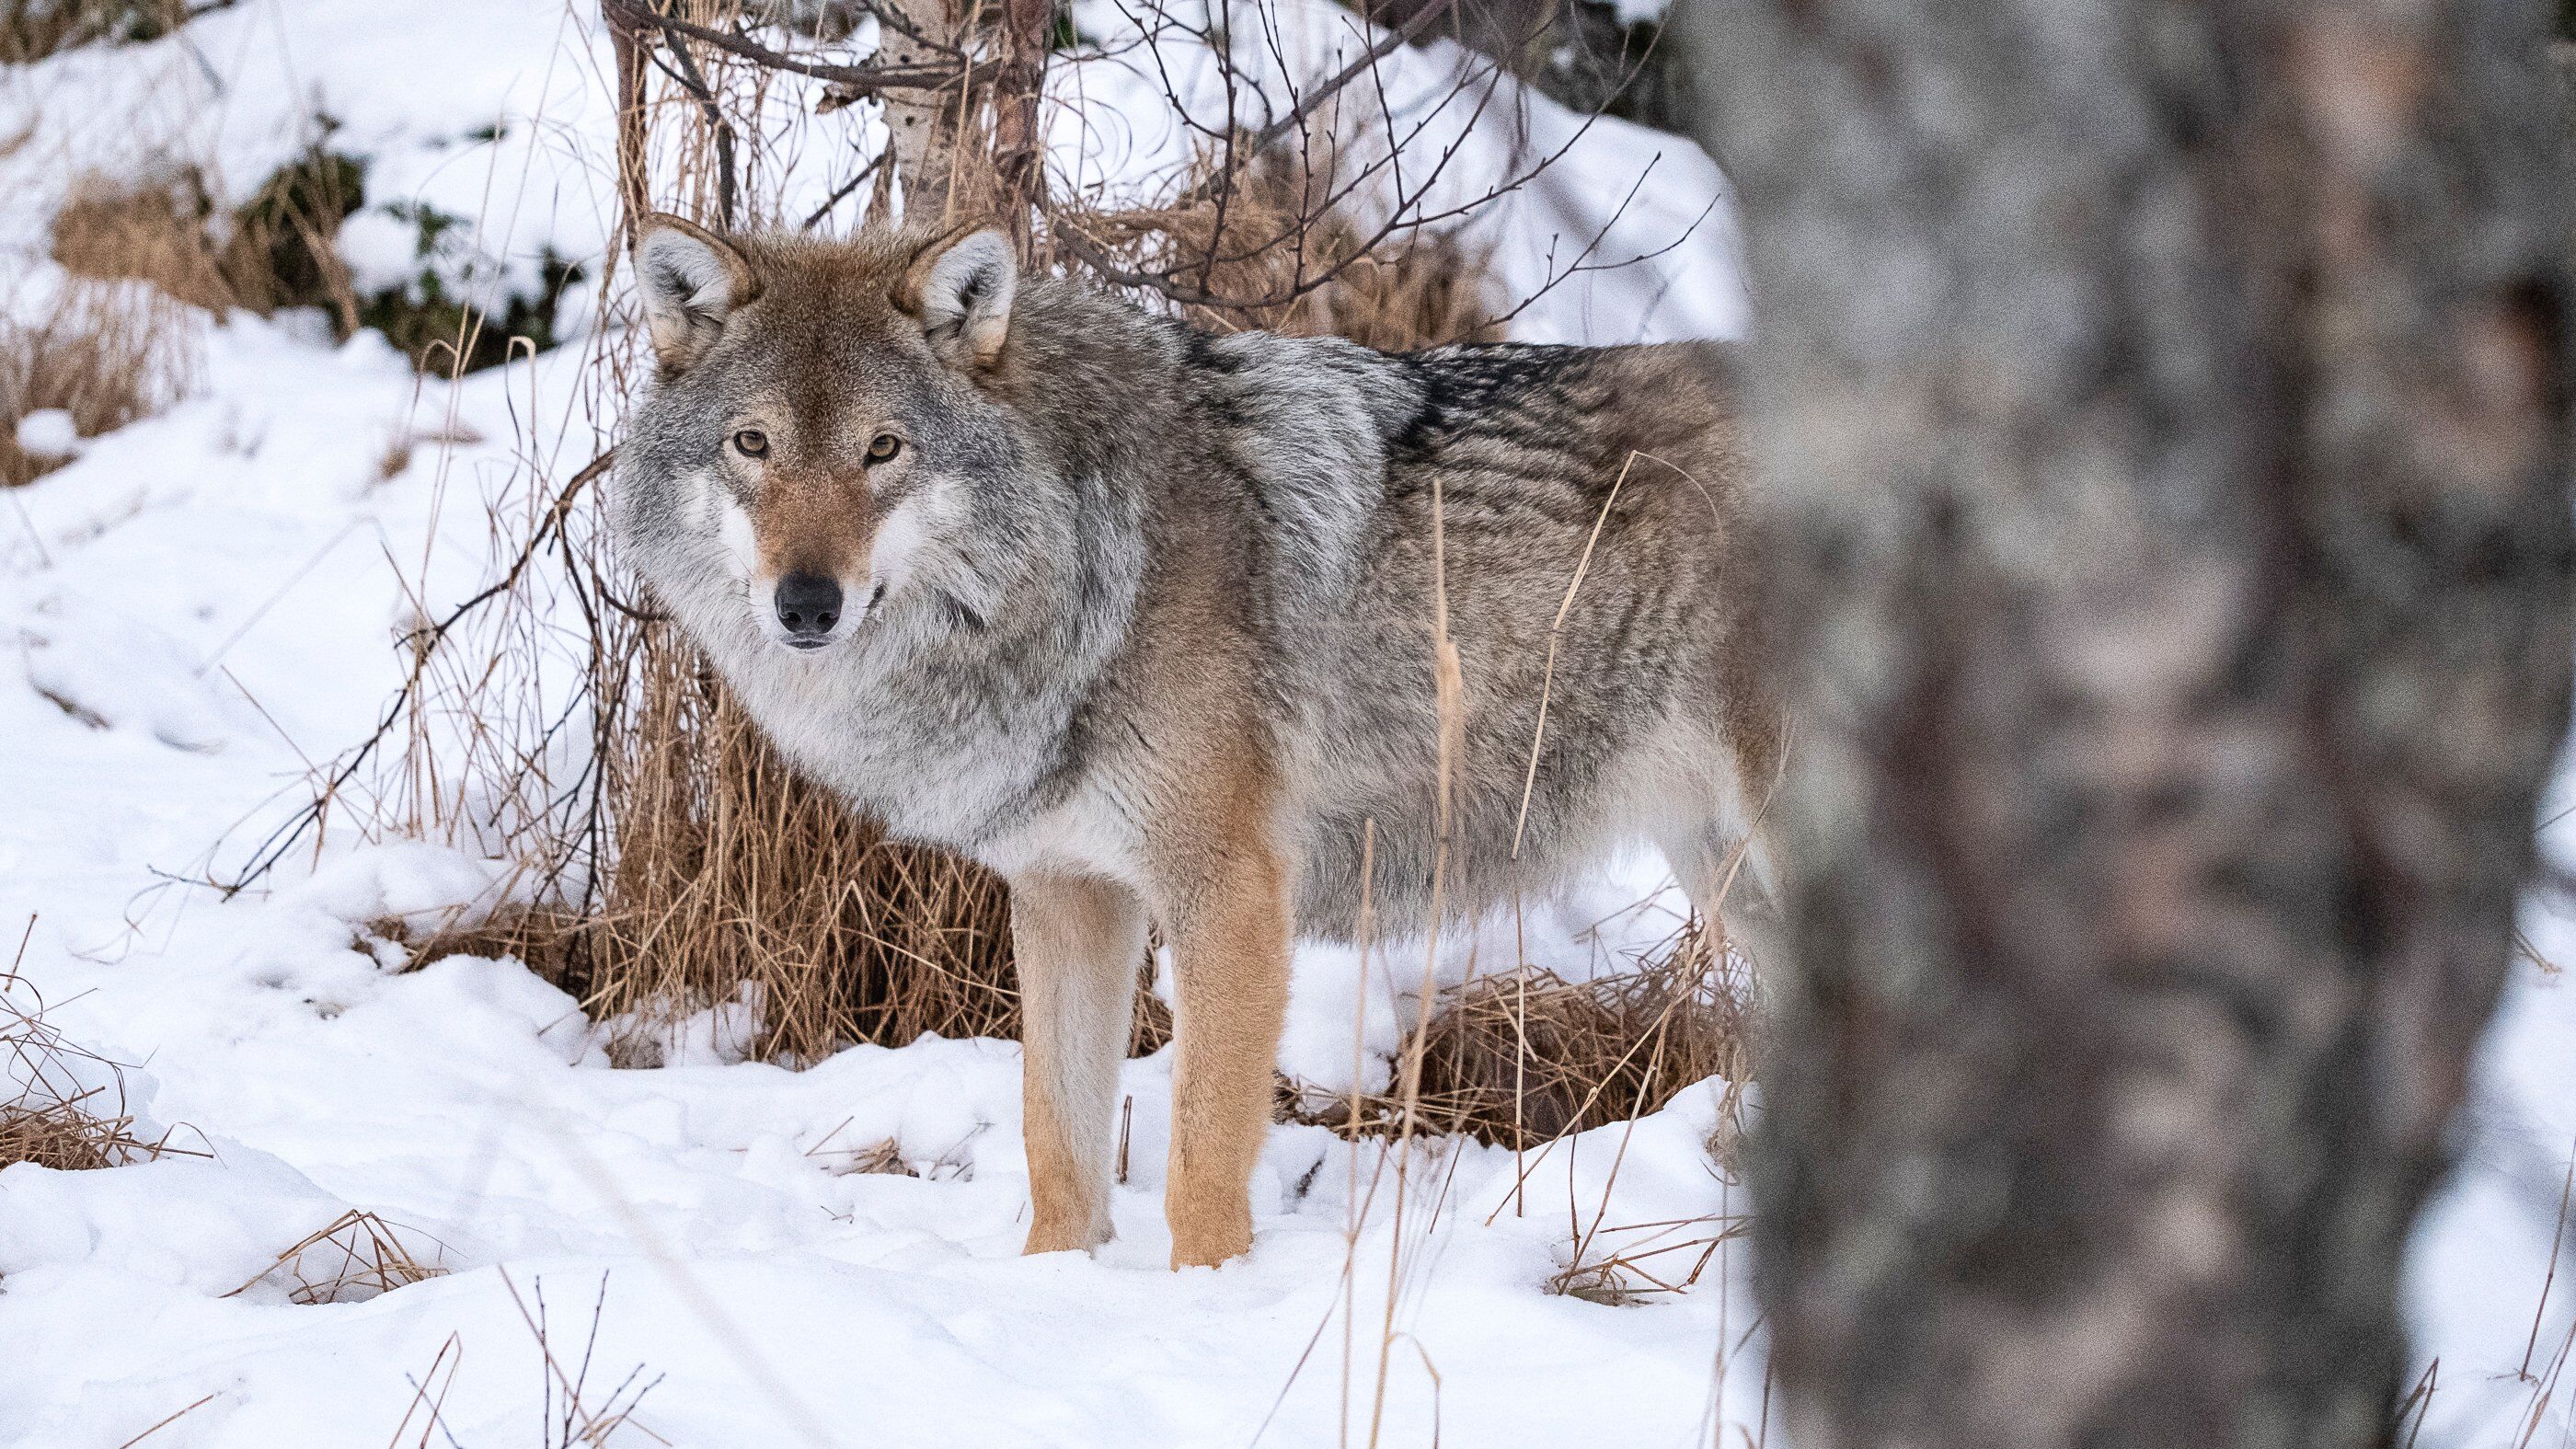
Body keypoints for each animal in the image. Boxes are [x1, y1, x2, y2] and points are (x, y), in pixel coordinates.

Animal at [613, 216, 1782, 1263]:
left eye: (882, 450)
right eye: (752, 445)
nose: (806, 604)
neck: (1089, 570)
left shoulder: (1228, 895)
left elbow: (1201, 1166)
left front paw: (1206, 1298)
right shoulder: (1068, 892)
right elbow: (1058, 1147)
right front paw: (1053, 1282)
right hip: (1730, 872)